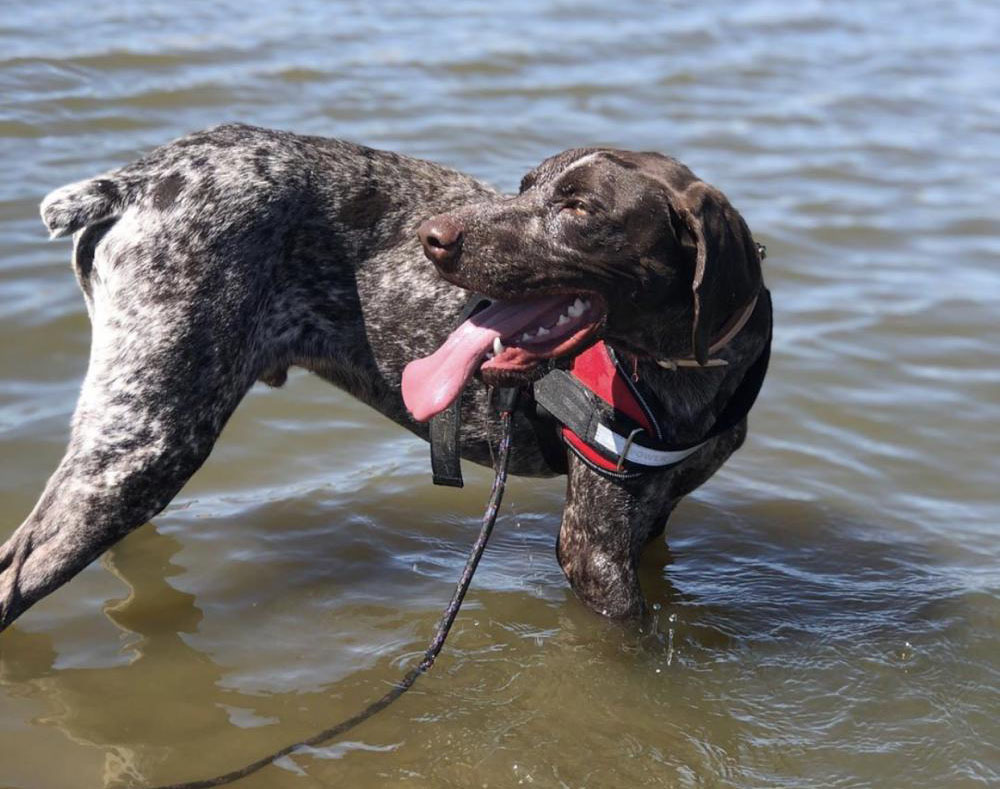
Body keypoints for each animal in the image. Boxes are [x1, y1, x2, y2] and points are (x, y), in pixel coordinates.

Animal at [0, 124, 772, 628]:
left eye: (579, 208)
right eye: (525, 186)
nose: (433, 239)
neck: (689, 368)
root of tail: (134, 181)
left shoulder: (653, 518)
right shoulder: (594, 552)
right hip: (149, 443)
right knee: (16, 573)